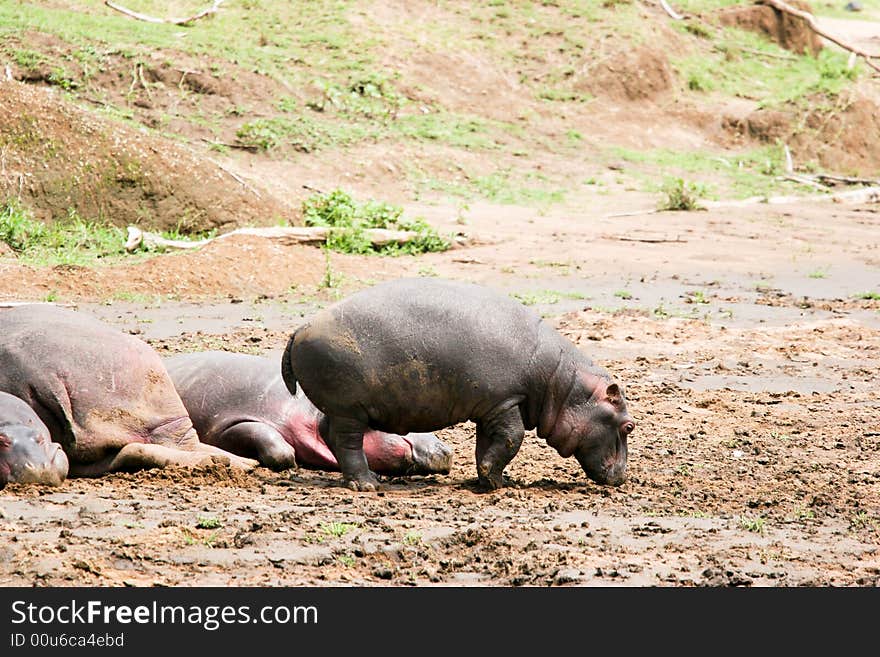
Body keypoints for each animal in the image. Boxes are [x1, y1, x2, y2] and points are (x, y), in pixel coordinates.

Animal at [286, 278, 636, 492]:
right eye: (629, 426)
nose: (622, 477)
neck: (562, 383)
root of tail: (300, 327)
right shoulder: (508, 400)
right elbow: (513, 438)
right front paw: (496, 482)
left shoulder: (491, 407)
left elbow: (488, 444)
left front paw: (492, 480)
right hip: (349, 410)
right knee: (347, 442)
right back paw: (366, 484)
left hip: (342, 409)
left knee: (330, 434)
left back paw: (369, 478)